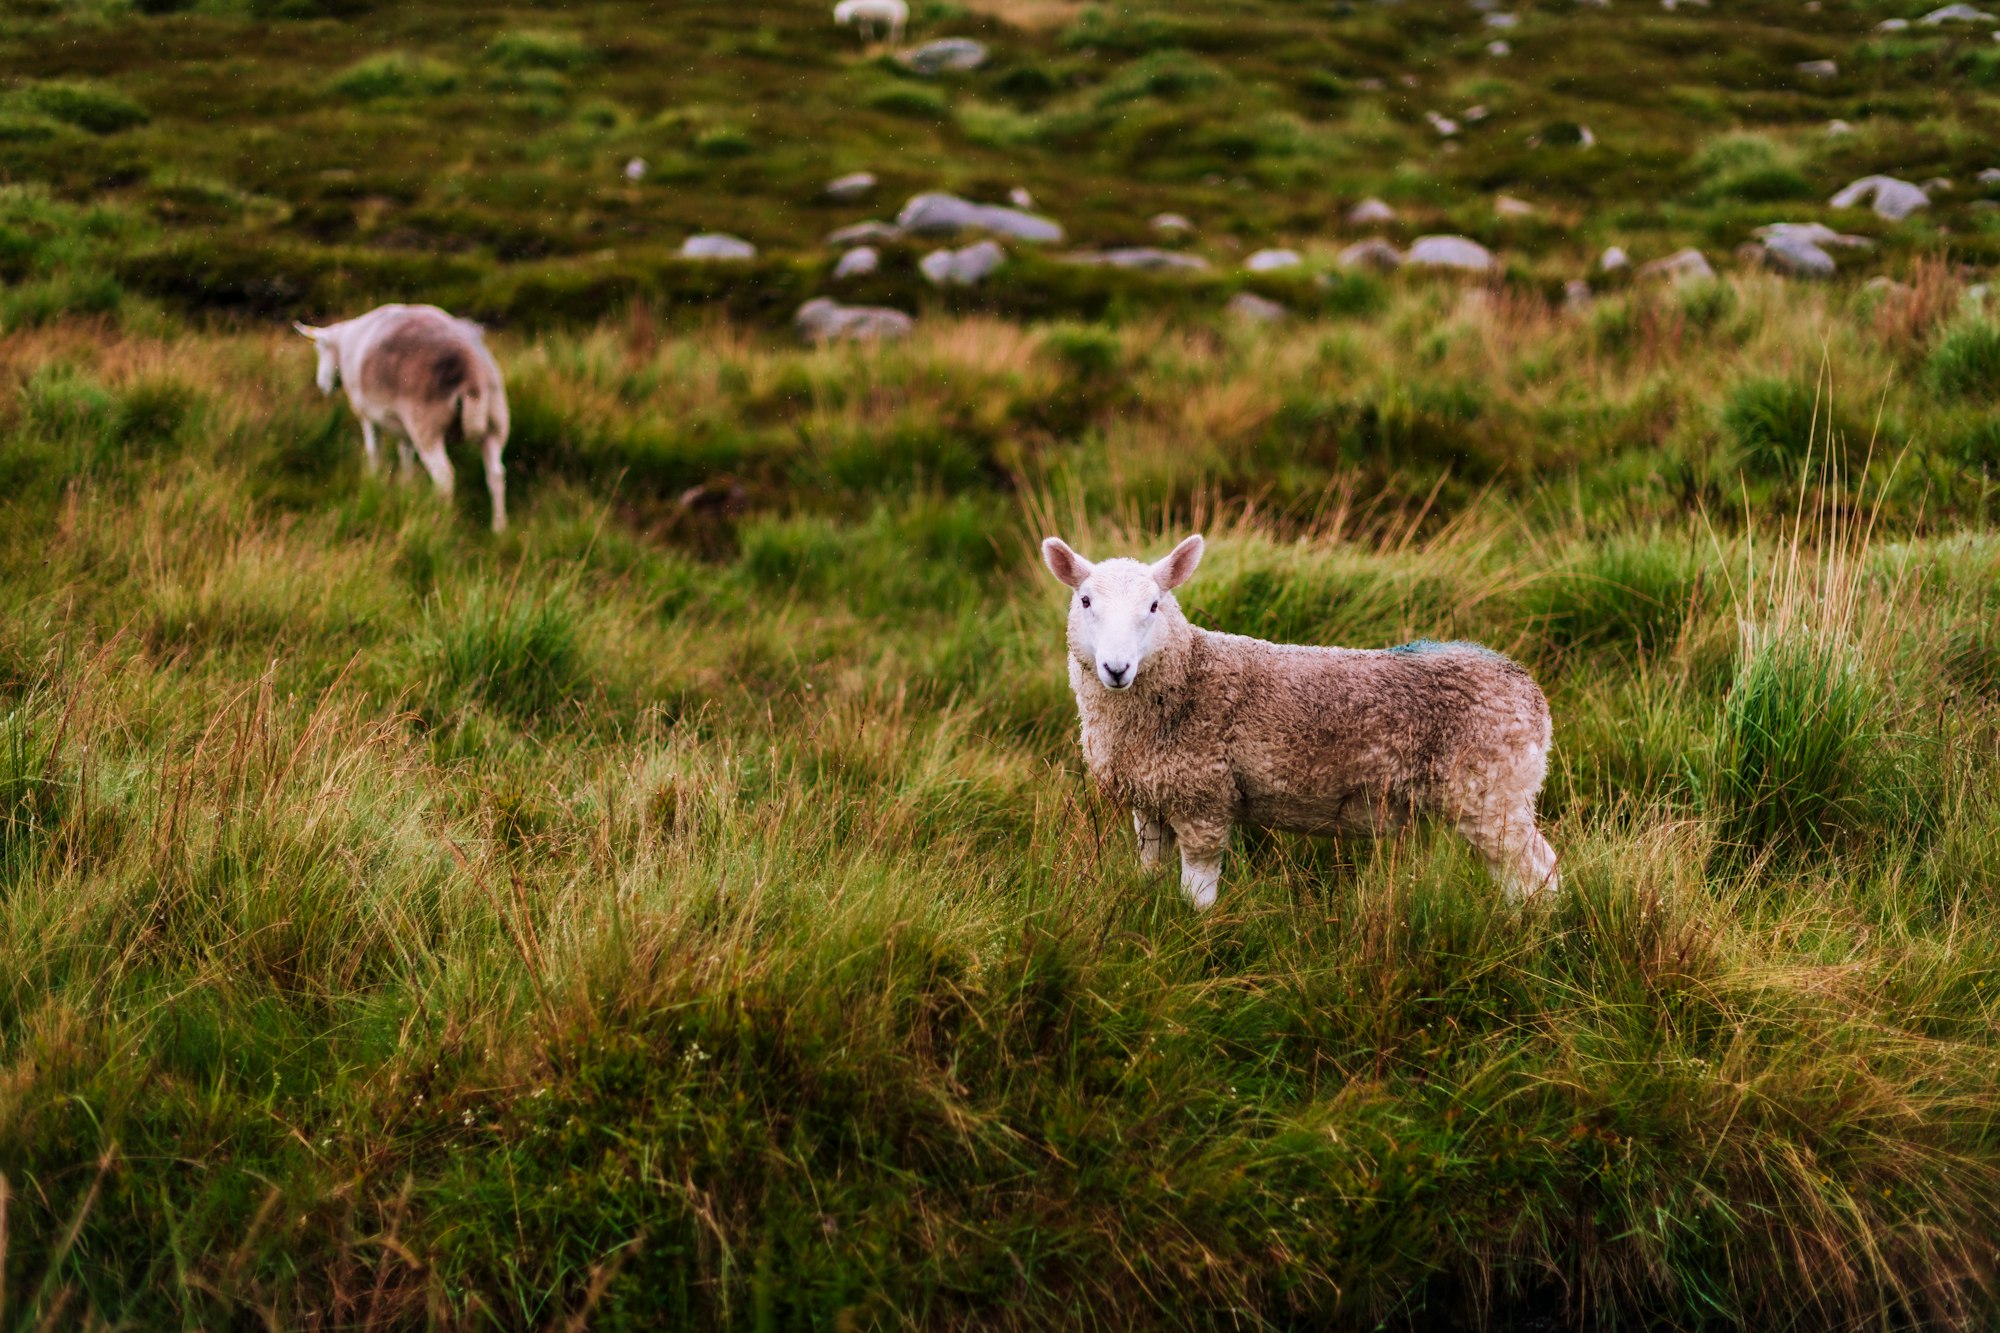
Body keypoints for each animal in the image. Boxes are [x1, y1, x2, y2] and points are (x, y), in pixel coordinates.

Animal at [300, 300, 516, 528]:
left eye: (319, 348)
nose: (322, 386)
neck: (345, 345)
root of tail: (471, 375)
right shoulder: (402, 425)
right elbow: (405, 454)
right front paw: (405, 488)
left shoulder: (366, 415)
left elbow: (373, 450)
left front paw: (373, 483)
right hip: (496, 421)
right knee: (496, 474)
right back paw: (499, 527)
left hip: (427, 425)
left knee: (444, 477)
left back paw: (440, 521)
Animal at [1048, 528, 1560, 904]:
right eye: (1085, 602)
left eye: (1154, 606)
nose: (1116, 668)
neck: (1187, 674)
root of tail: (1528, 690)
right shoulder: (1150, 799)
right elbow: (1149, 870)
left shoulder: (1203, 799)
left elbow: (1197, 893)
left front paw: (1196, 934)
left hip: (1493, 792)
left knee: (1539, 874)